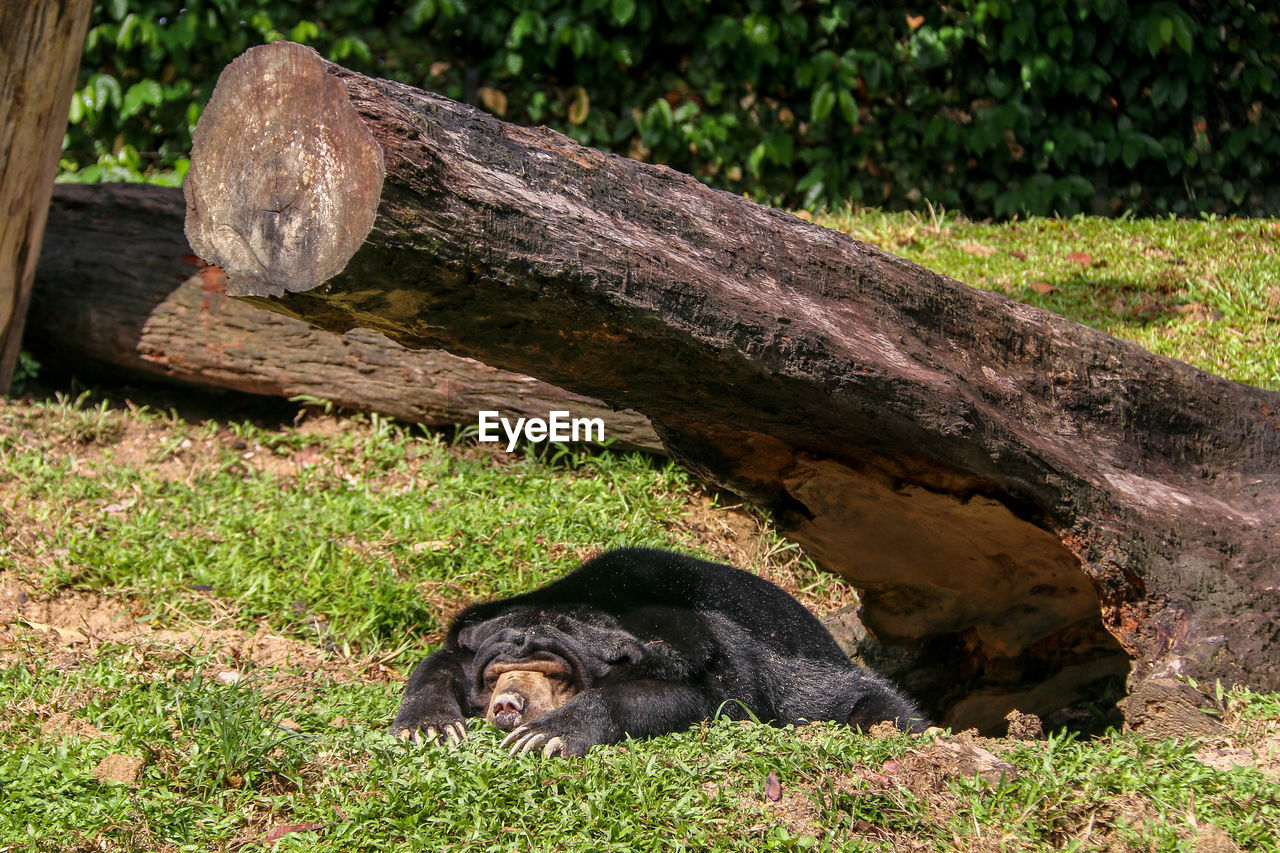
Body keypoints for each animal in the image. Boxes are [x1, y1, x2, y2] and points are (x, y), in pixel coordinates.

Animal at [384, 545, 926, 753]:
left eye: (558, 676)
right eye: (495, 676)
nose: (508, 704)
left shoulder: (702, 647)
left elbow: (689, 699)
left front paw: (546, 735)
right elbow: (441, 664)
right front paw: (428, 726)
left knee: (866, 701)